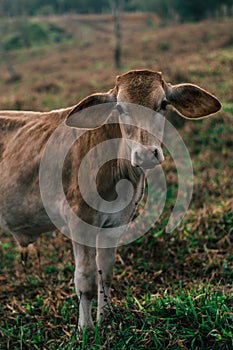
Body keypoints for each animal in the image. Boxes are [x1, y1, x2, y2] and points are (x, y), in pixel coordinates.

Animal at [0, 70, 221, 328]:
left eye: (164, 104)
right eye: (120, 108)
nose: (146, 154)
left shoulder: (115, 225)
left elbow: (104, 275)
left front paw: (104, 320)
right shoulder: (79, 222)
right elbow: (85, 280)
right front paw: (85, 329)